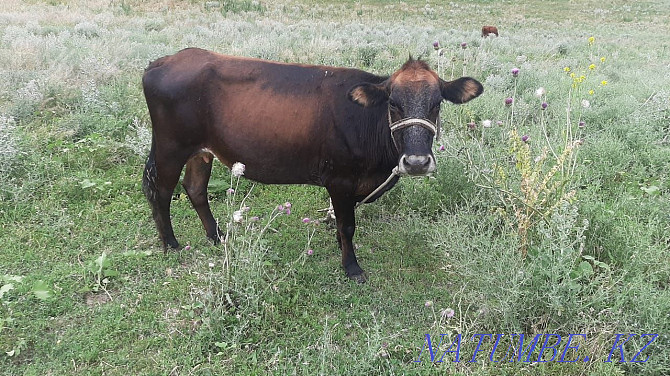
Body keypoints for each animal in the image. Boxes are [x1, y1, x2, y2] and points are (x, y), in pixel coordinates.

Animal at [144, 47, 486, 282]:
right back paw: (171, 244)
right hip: (171, 147)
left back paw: (217, 237)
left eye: (437, 103)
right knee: (161, 191)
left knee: (195, 188)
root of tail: (166, 60)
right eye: (393, 103)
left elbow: (340, 220)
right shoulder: (340, 179)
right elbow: (347, 224)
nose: (416, 162)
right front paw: (352, 267)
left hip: (201, 151)